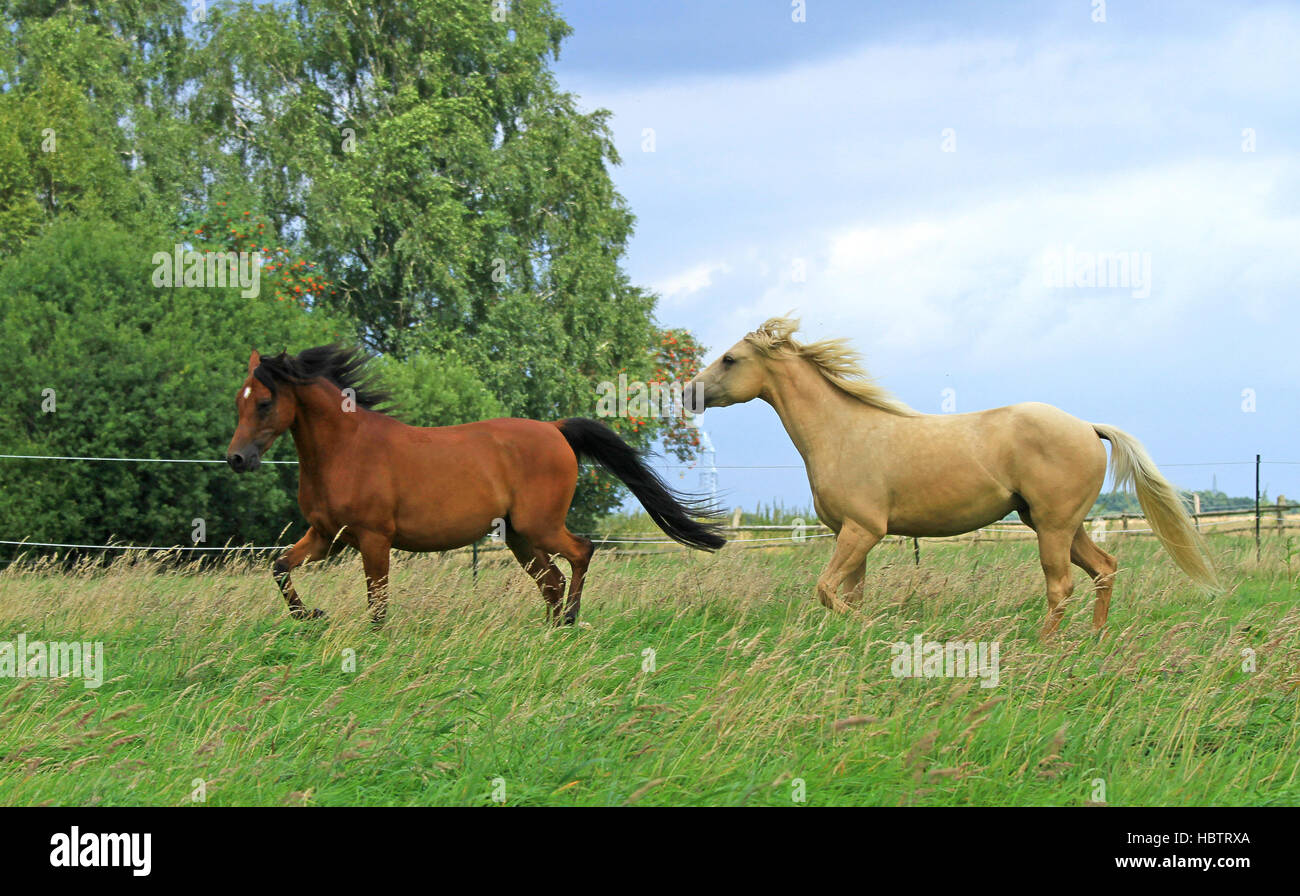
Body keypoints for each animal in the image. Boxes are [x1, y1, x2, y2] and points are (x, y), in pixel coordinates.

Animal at [225, 345, 724, 625]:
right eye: (239, 401)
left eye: (265, 402)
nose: (237, 459)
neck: (346, 449)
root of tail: (555, 429)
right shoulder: (327, 536)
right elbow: (278, 566)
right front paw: (309, 616)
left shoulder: (372, 539)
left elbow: (377, 604)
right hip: (520, 536)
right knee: (552, 580)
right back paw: (550, 628)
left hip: (539, 526)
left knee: (581, 552)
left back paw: (569, 620)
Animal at [686, 317, 1217, 636]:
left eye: (730, 359)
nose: (689, 393)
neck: (843, 432)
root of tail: (1088, 426)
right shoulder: (849, 535)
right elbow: (847, 595)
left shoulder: (863, 531)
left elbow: (826, 591)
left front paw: (880, 632)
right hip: (1058, 523)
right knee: (1104, 568)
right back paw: (1095, 639)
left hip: (1053, 526)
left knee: (1061, 586)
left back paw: (1047, 646)